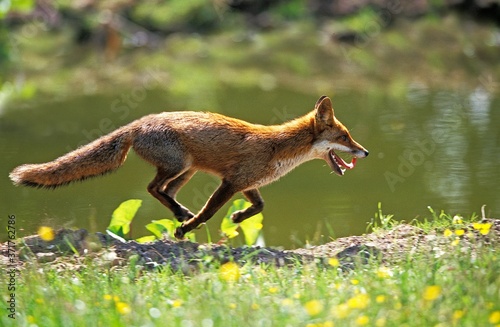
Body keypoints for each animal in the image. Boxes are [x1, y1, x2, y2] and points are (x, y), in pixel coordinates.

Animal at [7, 96, 368, 240]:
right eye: (345, 137)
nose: (364, 152)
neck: (278, 147)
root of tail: (138, 123)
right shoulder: (230, 183)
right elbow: (208, 213)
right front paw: (186, 230)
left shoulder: (244, 183)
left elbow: (260, 206)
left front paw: (237, 218)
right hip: (180, 165)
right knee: (153, 188)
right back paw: (181, 216)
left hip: (188, 170)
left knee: (163, 191)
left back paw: (179, 211)